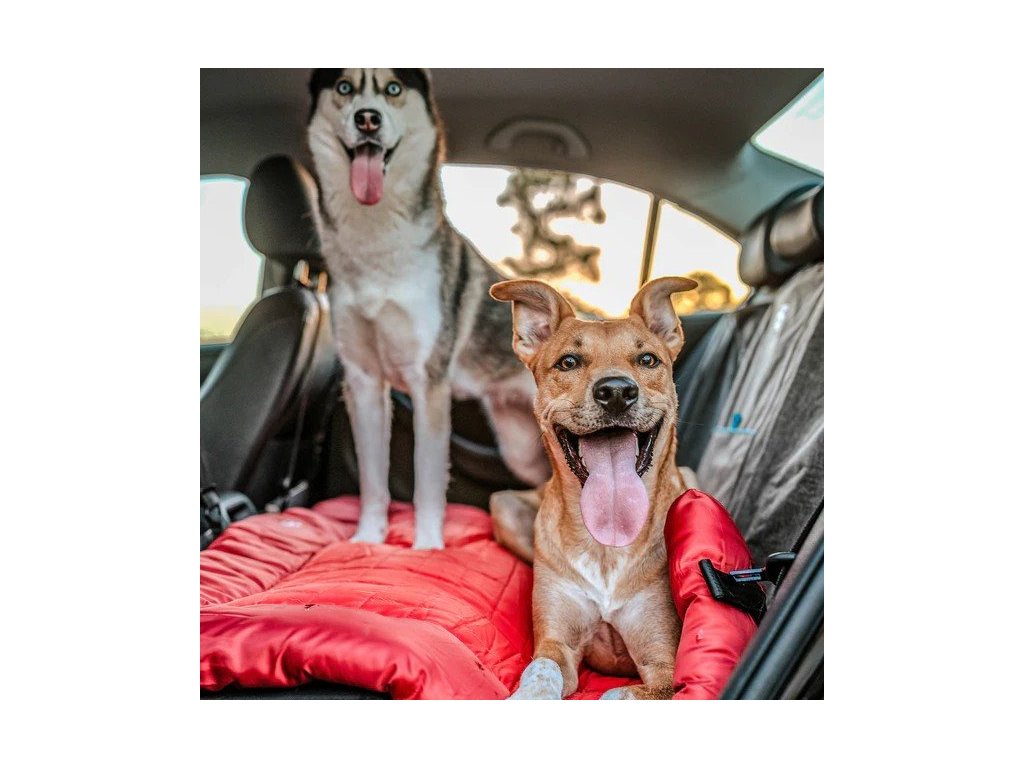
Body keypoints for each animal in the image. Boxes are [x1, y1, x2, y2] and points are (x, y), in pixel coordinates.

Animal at [307, 69, 549, 550]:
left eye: (393, 89)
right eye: (344, 88)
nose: (368, 119)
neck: (376, 254)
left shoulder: (428, 385)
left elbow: (427, 482)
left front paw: (427, 547)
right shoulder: (363, 383)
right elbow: (373, 481)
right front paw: (368, 539)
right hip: (520, 448)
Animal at [489, 275, 698, 699]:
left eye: (648, 360)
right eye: (568, 362)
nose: (616, 391)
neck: (607, 547)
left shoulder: (666, 669)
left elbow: (615, 694)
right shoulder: (557, 645)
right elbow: (541, 672)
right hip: (503, 507)